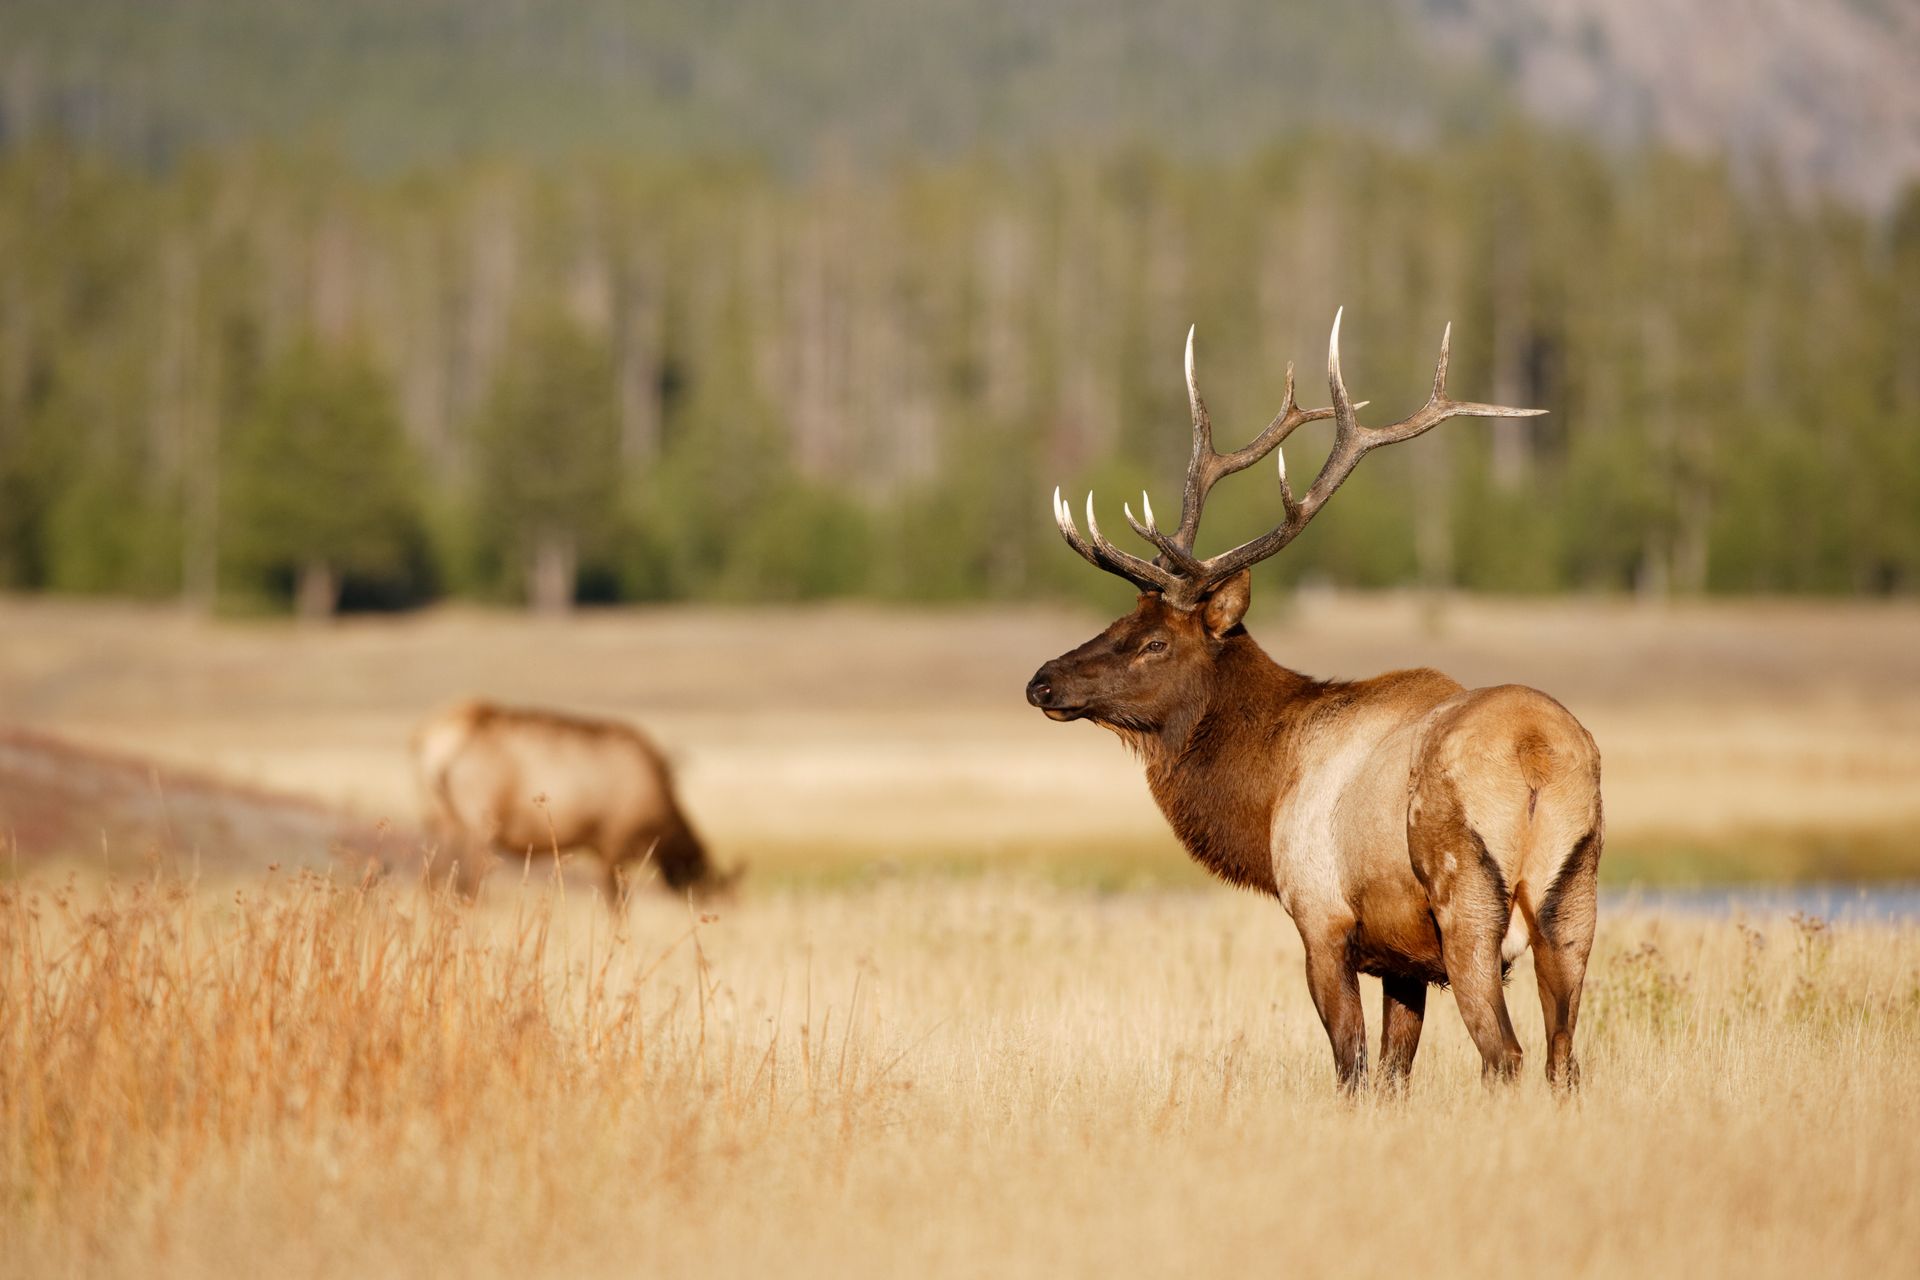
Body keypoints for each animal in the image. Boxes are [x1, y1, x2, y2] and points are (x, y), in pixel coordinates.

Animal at [1026, 311, 1603, 1090]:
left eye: (1152, 641)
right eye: (1118, 621)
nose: (1042, 681)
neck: (1269, 786)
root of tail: (1537, 755)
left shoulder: (1322, 919)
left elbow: (1351, 1065)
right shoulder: (1402, 958)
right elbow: (1394, 1073)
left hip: (1467, 901)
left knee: (1505, 1056)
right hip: (1574, 902)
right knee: (1563, 1060)